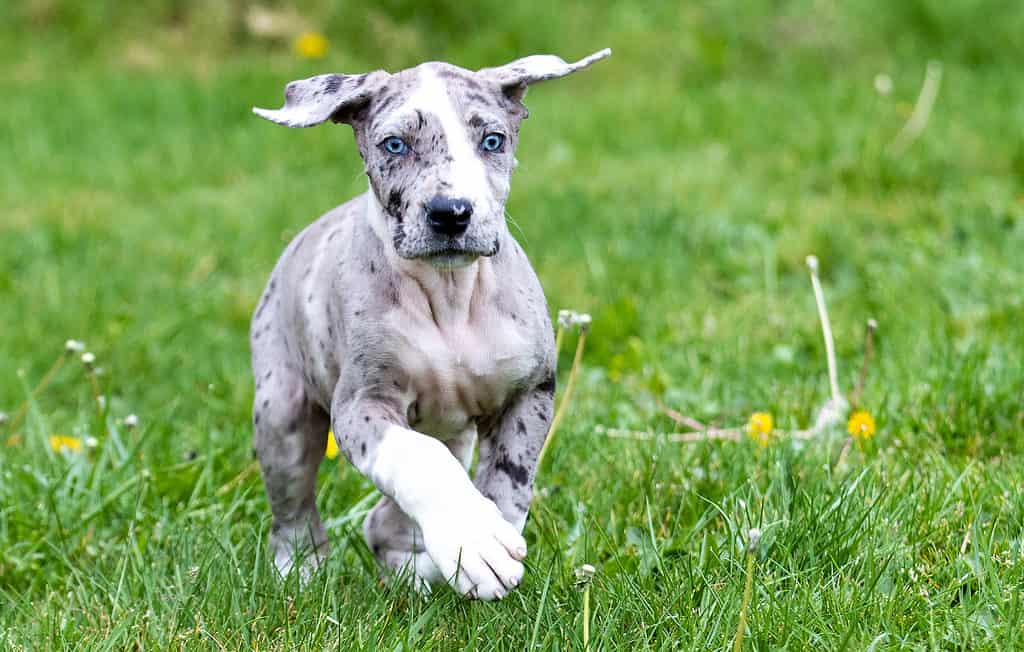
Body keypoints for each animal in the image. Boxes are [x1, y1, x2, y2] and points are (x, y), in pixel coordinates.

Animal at [252, 47, 610, 601]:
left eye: (493, 140)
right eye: (394, 144)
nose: (451, 213)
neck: (449, 294)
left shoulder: (530, 393)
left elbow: (509, 483)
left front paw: (481, 545)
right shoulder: (362, 403)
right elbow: (419, 461)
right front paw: (473, 541)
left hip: (451, 430)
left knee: (384, 522)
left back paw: (418, 575)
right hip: (281, 412)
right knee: (294, 510)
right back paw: (300, 573)